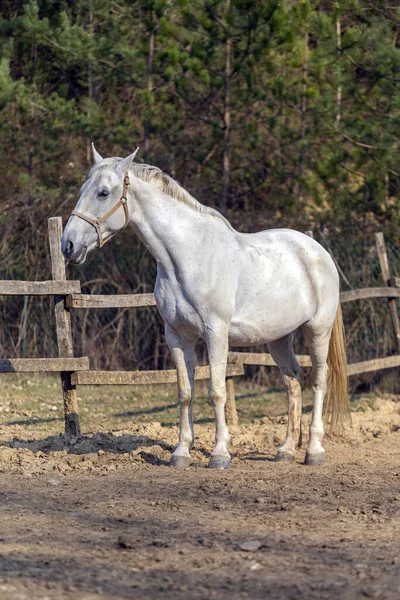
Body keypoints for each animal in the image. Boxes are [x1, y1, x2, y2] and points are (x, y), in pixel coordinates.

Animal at [61, 148, 348, 472]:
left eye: (103, 192)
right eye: (82, 190)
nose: (68, 244)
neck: (187, 256)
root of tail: (318, 251)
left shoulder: (215, 333)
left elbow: (216, 391)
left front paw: (220, 454)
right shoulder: (177, 337)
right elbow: (185, 393)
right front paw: (181, 453)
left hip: (317, 329)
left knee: (319, 380)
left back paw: (313, 450)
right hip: (278, 339)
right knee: (293, 382)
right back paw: (285, 450)